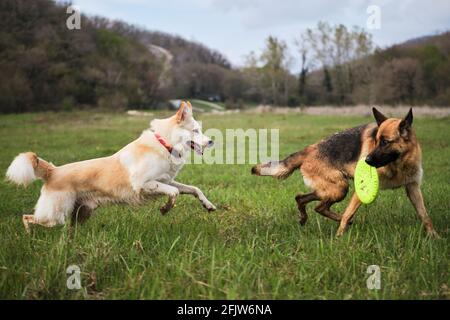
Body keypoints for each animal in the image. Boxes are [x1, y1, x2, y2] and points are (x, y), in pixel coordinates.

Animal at [6, 101, 217, 231]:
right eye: (195, 130)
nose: (211, 141)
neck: (164, 144)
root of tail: (52, 171)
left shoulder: (166, 180)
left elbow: (193, 189)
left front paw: (208, 205)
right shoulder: (143, 184)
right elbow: (174, 193)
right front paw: (165, 209)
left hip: (80, 214)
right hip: (54, 216)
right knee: (26, 218)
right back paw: (29, 236)